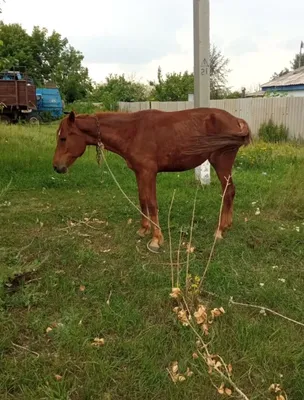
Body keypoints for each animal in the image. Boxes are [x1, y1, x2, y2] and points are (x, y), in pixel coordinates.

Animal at [52, 108, 252, 252]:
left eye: (63, 138)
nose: (56, 167)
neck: (132, 131)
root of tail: (236, 120)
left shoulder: (149, 173)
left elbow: (152, 203)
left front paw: (157, 239)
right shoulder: (140, 173)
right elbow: (142, 200)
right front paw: (144, 229)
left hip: (221, 164)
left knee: (228, 192)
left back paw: (220, 230)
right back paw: (227, 226)